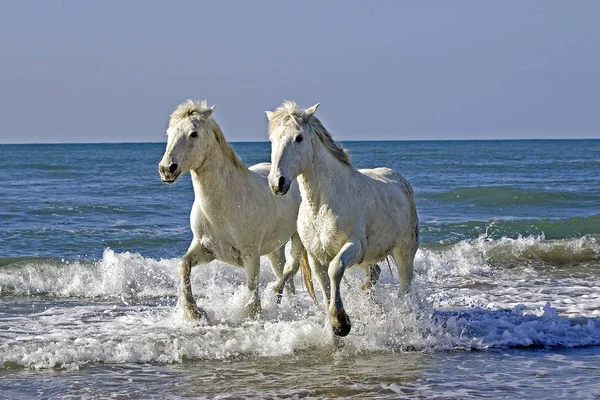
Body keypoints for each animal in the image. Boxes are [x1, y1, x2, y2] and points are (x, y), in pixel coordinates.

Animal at [158, 101, 304, 322]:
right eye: (169, 133)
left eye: (194, 134)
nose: (167, 169)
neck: (225, 205)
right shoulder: (204, 249)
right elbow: (183, 266)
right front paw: (195, 312)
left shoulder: (251, 257)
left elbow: (252, 295)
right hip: (275, 250)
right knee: (286, 279)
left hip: (297, 240)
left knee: (290, 271)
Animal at [264, 101, 420, 336]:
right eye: (272, 139)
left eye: (299, 137)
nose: (277, 183)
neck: (322, 205)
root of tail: (400, 179)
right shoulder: (316, 256)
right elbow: (325, 287)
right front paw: (334, 328)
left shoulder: (354, 246)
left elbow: (335, 269)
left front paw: (341, 323)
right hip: (370, 257)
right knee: (374, 274)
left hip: (404, 250)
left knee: (405, 285)